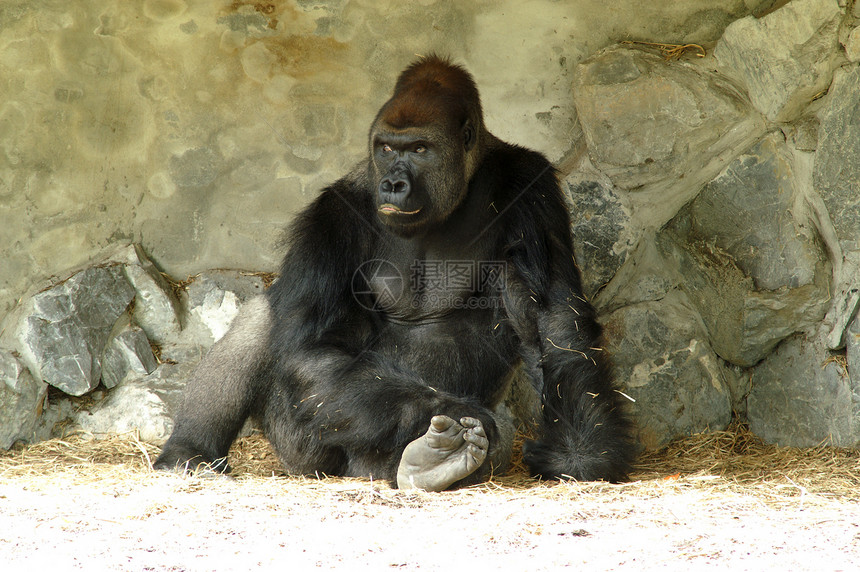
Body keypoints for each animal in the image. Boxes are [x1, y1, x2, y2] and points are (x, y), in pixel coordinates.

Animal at [158, 54, 636, 492]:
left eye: (420, 149)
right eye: (387, 148)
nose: (392, 184)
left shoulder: (531, 186)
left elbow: (554, 319)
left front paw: (582, 454)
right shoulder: (329, 217)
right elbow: (311, 347)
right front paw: (454, 413)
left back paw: (428, 466)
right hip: (306, 457)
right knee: (266, 320)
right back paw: (189, 451)